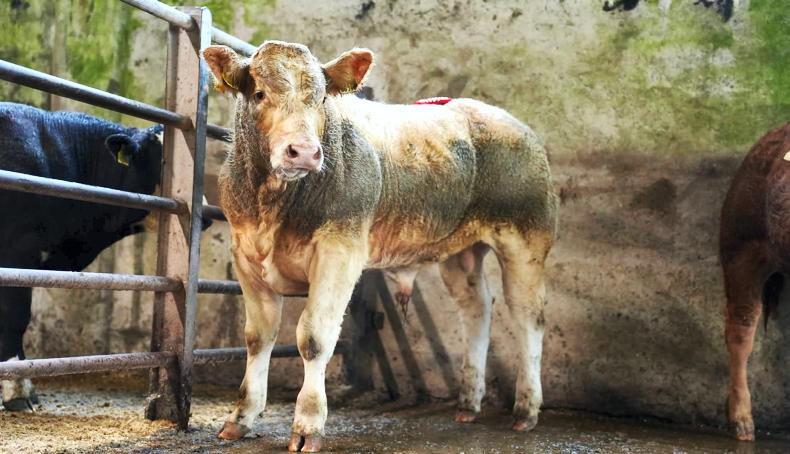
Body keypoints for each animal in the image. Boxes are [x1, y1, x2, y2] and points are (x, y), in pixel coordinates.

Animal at [202, 40, 558, 452]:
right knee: (476, 310)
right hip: (460, 253)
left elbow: (314, 337)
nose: (304, 152)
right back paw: (468, 404)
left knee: (527, 317)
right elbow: (258, 338)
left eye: (322, 98)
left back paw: (526, 411)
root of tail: (511, 122)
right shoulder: (245, 256)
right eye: (259, 93)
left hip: (526, 239)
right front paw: (240, 418)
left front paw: (308, 426)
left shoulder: (339, 251)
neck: (274, 206)